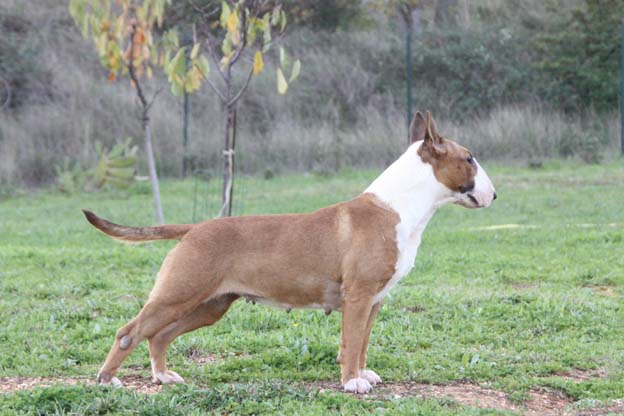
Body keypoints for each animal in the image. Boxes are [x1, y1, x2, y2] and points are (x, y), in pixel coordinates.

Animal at [83, 111, 496, 394]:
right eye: (470, 158)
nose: (494, 195)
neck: (397, 206)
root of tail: (194, 229)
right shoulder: (359, 297)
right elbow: (351, 342)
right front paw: (352, 382)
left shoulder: (374, 301)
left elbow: (362, 343)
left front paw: (363, 374)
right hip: (177, 295)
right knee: (130, 331)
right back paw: (106, 379)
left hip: (209, 305)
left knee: (159, 336)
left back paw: (163, 375)